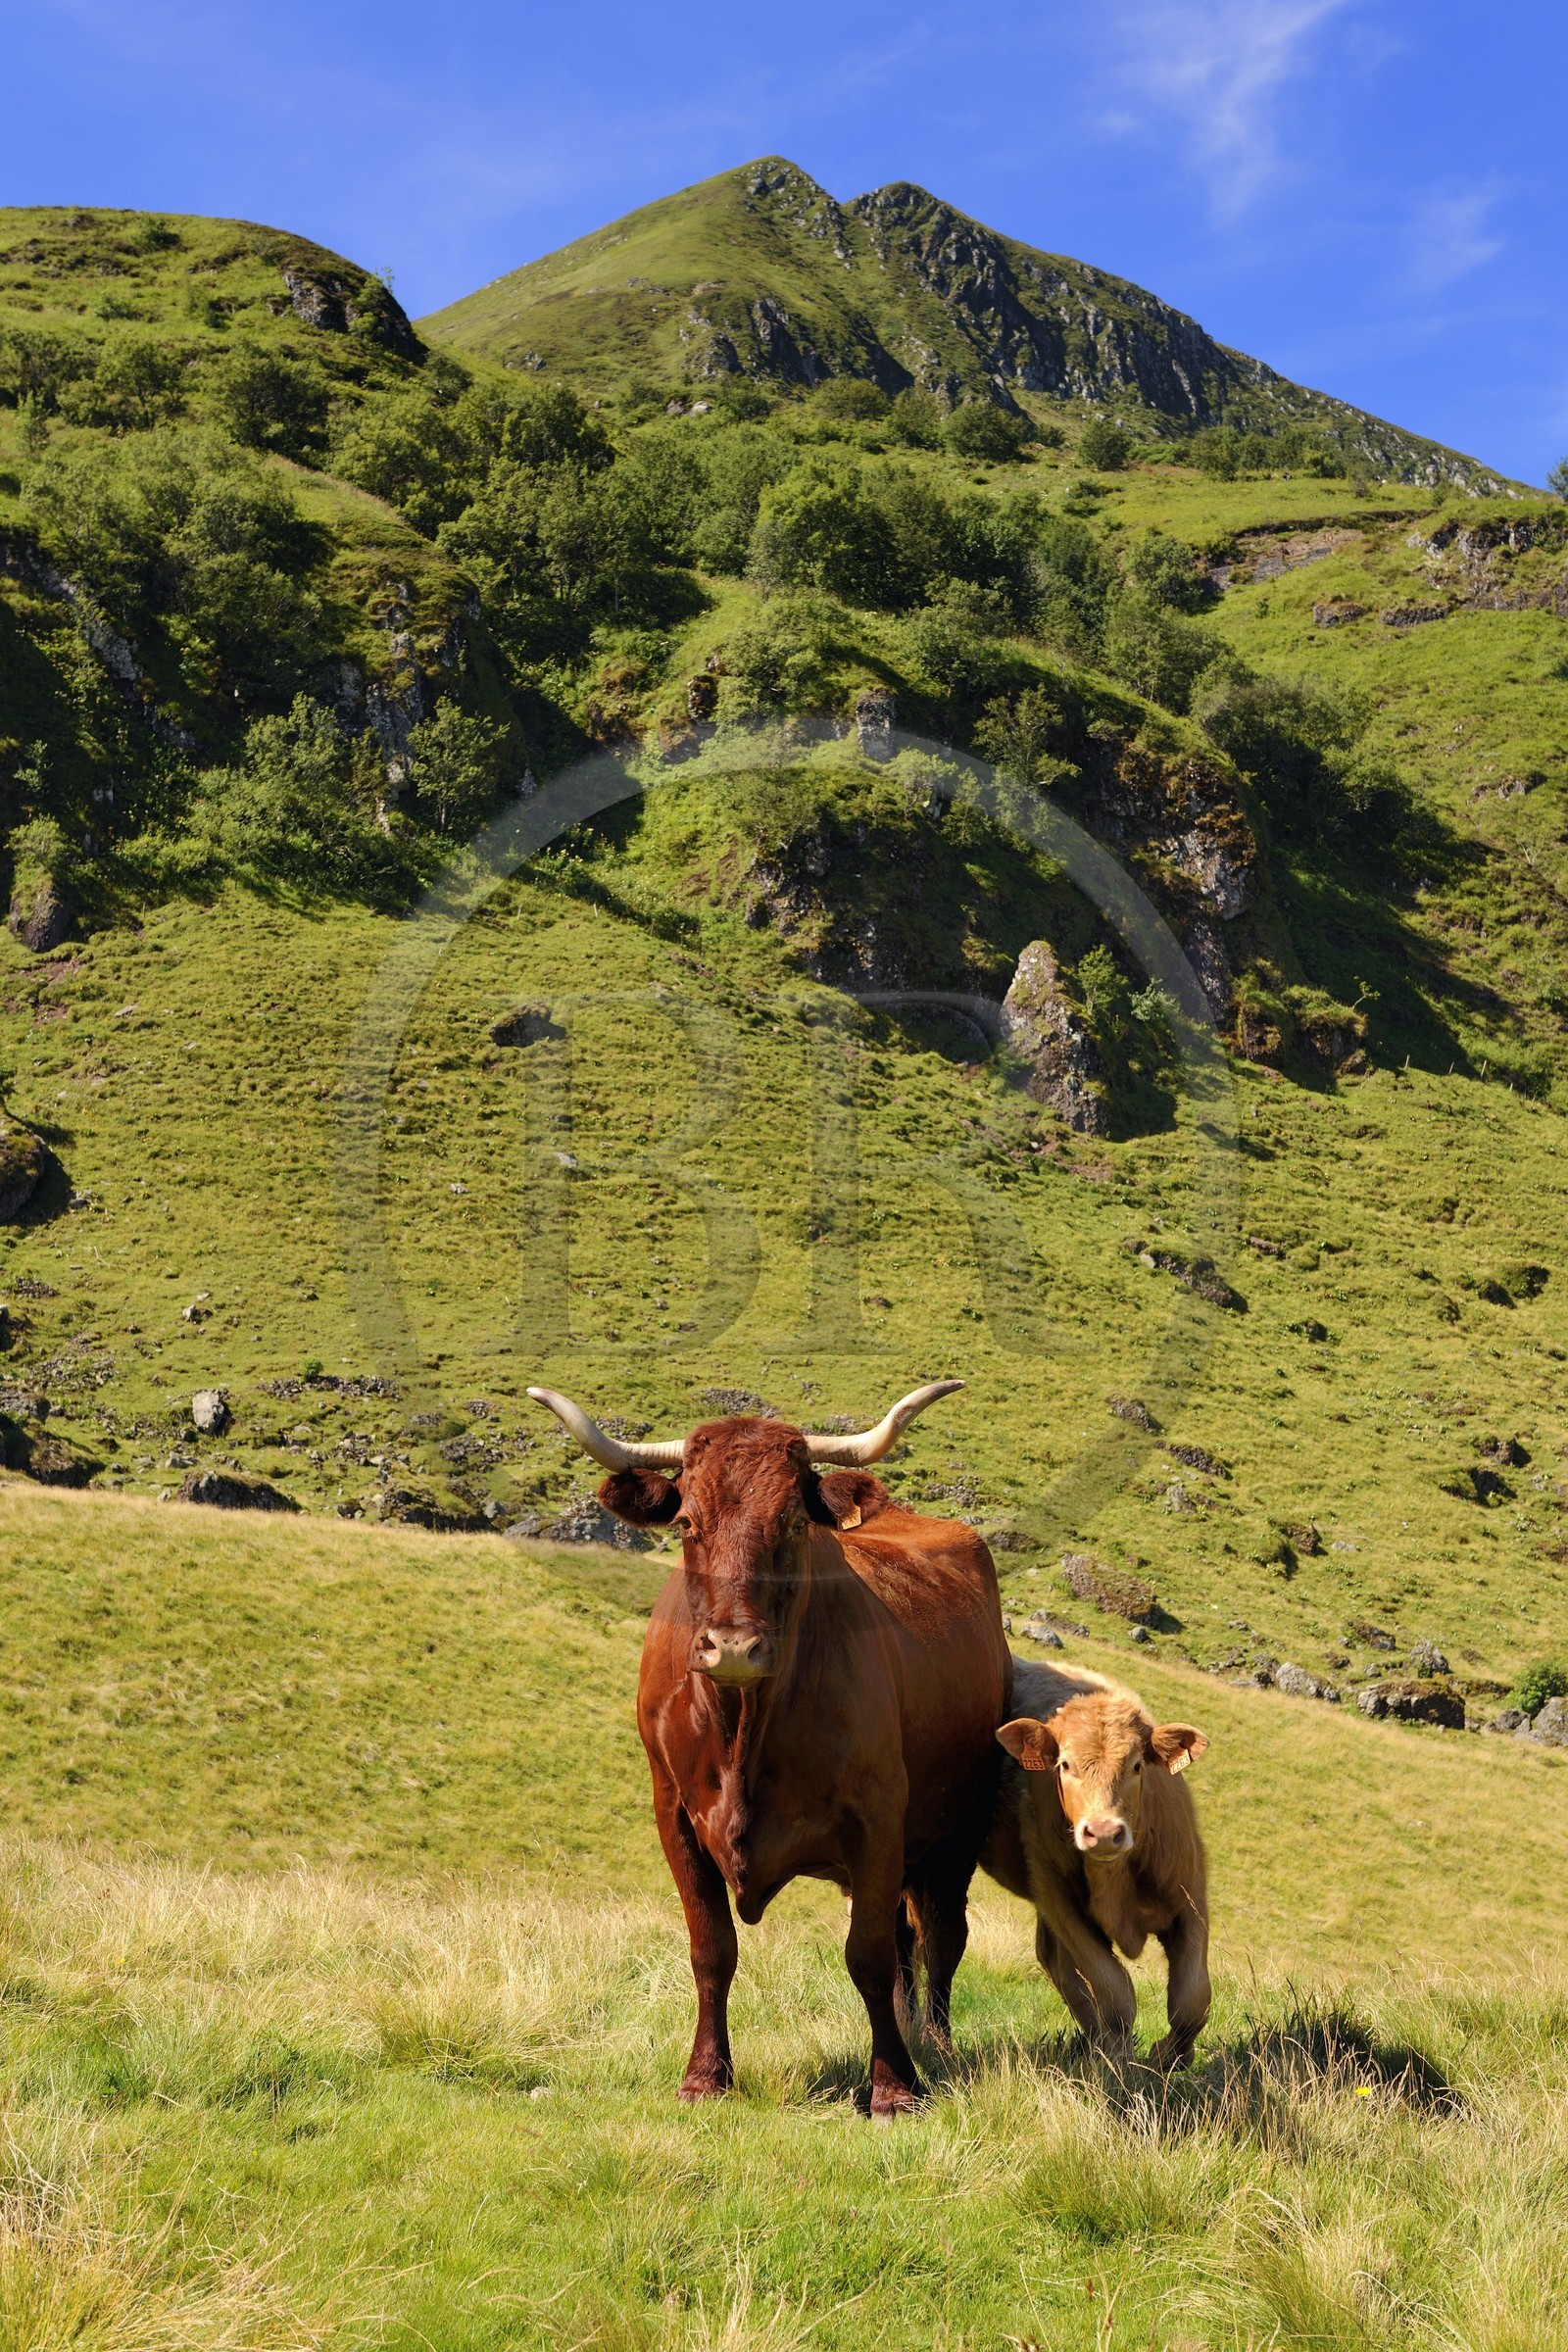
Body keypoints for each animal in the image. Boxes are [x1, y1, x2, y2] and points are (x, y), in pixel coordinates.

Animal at [526, 1380, 1011, 2116]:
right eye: (687, 1523)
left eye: (792, 1525)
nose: (732, 1647)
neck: (742, 1733)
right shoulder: (674, 1816)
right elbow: (711, 1951)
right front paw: (706, 2076)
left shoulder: (878, 1819)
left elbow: (867, 1953)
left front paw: (894, 2088)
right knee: (910, 1940)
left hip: (959, 1829)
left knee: (941, 1937)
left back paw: (934, 2045)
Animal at [980, 1657, 1211, 2069]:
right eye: (1064, 1764)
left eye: (1136, 1765)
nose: (1103, 1832)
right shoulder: (1062, 1906)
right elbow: (1113, 1991)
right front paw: (1118, 2060)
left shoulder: (1191, 1899)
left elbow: (1192, 2000)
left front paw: (1170, 2056)